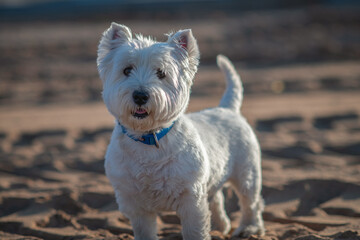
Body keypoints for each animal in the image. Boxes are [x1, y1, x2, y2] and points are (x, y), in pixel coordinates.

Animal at [97, 23, 264, 240]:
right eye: (126, 70)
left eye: (161, 73)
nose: (140, 96)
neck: (149, 137)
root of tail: (228, 108)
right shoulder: (136, 204)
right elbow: (145, 231)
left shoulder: (191, 196)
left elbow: (195, 229)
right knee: (216, 198)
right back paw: (220, 226)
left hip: (247, 171)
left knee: (250, 201)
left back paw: (249, 228)